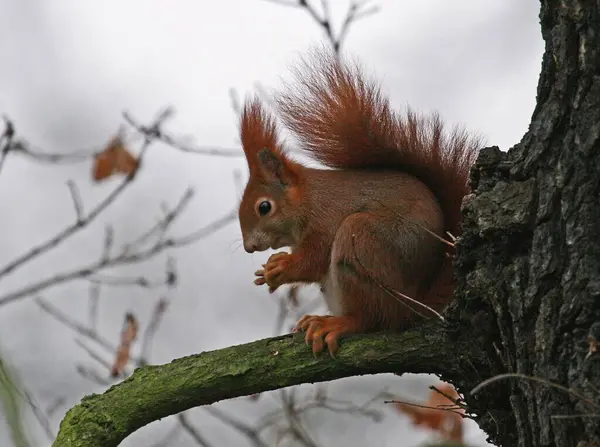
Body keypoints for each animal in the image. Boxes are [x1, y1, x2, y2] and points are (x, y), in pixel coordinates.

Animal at [237, 49, 480, 356]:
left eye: (264, 207)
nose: (248, 247)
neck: (308, 202)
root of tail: (412, 306)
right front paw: (269, 268)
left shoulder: (327, 219)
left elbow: (314, 260)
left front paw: (280, 268)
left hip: (361, 240)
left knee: (373, 319)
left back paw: (338, 323)